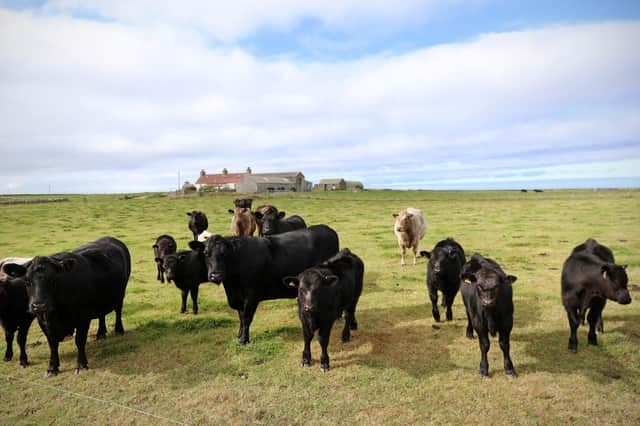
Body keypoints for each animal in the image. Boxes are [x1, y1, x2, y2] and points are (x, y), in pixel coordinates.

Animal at [6, 236, 131, 376]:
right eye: (26, 281)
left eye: (53, 279)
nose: (39, 305)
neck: (58, 312)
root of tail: (111, 238)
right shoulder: (43, 321)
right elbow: (52, 344)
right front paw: (52, 368)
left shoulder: (83, 317)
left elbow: (80, 340)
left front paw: (81, 364)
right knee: (101, 315)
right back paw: (100, 333)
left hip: (121, 293)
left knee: (118, 311)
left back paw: (119, 330)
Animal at [191, 225, 338, 344]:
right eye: (206, 253)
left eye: (225, 253)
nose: (216, 275)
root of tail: (326, 228)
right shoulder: (238, 297)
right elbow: (240, 316)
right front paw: (239, 335)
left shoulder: (251, 296)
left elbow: (246, 318)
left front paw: (244, 340)